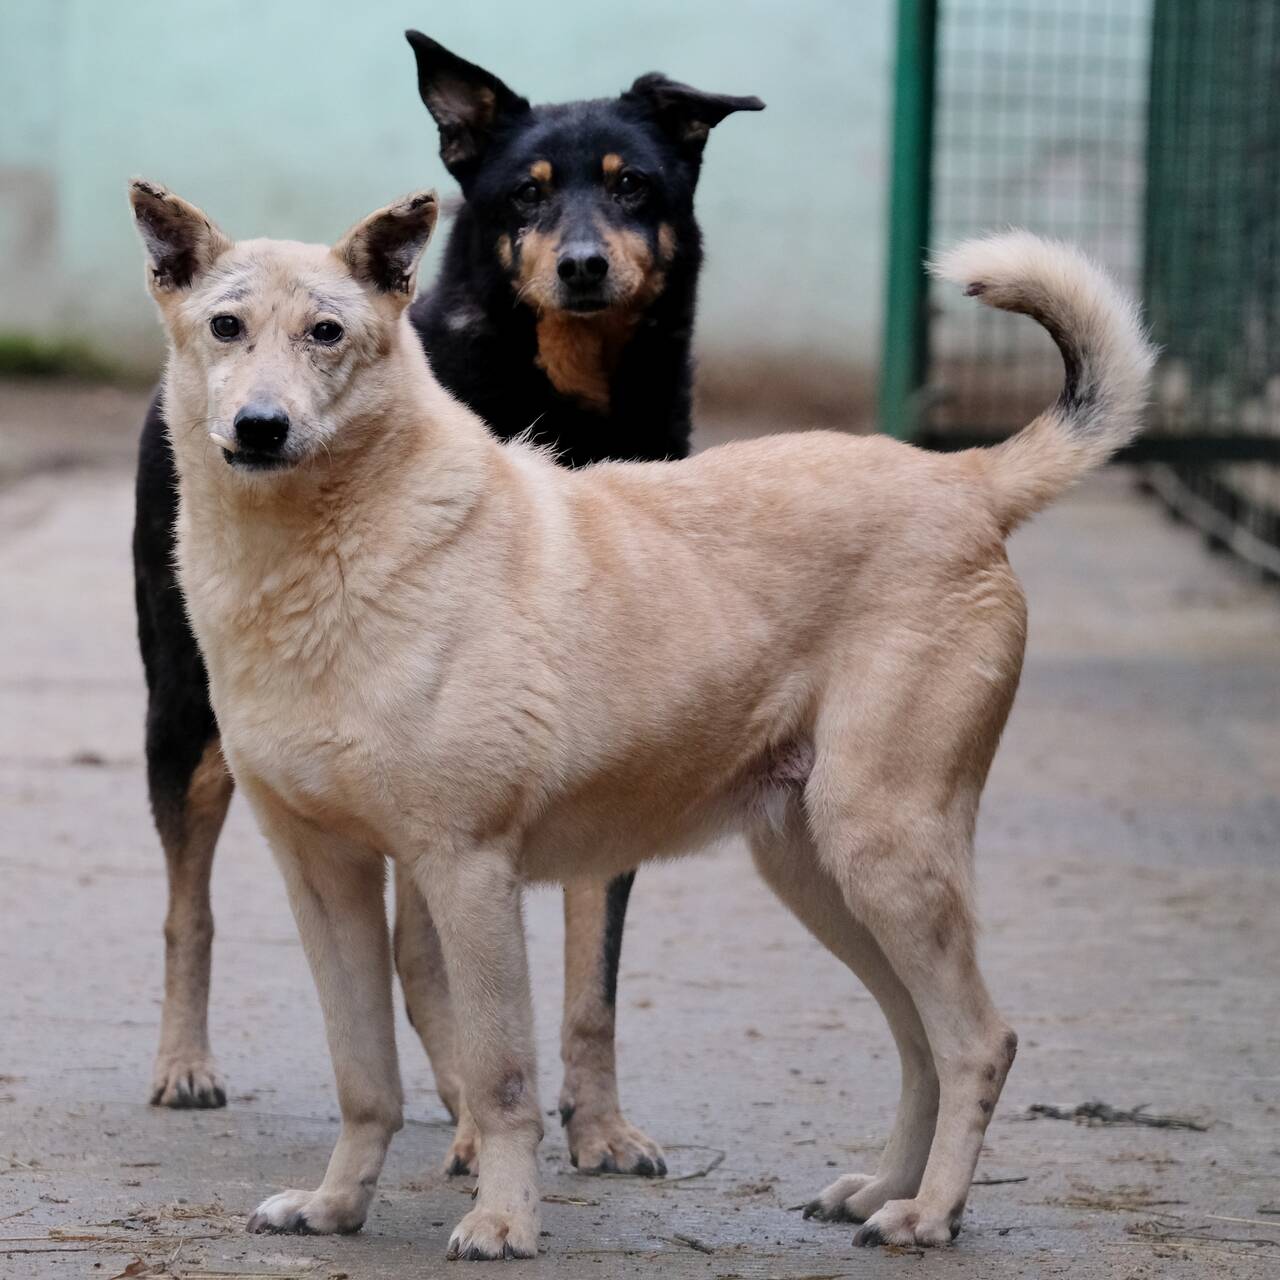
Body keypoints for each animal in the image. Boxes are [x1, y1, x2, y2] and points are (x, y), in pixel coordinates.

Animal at [132, 30, 757, 1172]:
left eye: (633, 185)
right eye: (526, 193)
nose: (583, 265)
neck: (566, 403)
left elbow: (591, 978)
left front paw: (599, 1124)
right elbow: (431, 967)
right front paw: (485, 1125)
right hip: (184, 716)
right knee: (188, 906)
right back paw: (188, 1063)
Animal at [132, 177, 1162, 1259]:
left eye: (326, 332)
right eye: (226, 327)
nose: (260, 426)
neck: (327, 554)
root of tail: (963, 478)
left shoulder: (468, 871)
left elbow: (501, 1077)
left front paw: (503, 1218)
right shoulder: (324, 877)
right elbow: (362, 1073)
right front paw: (335, 1206)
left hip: (883, 852)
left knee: (976, 1040)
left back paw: (927, 1213)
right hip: (820, 874)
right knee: (920, 1039)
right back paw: (882, 1188)